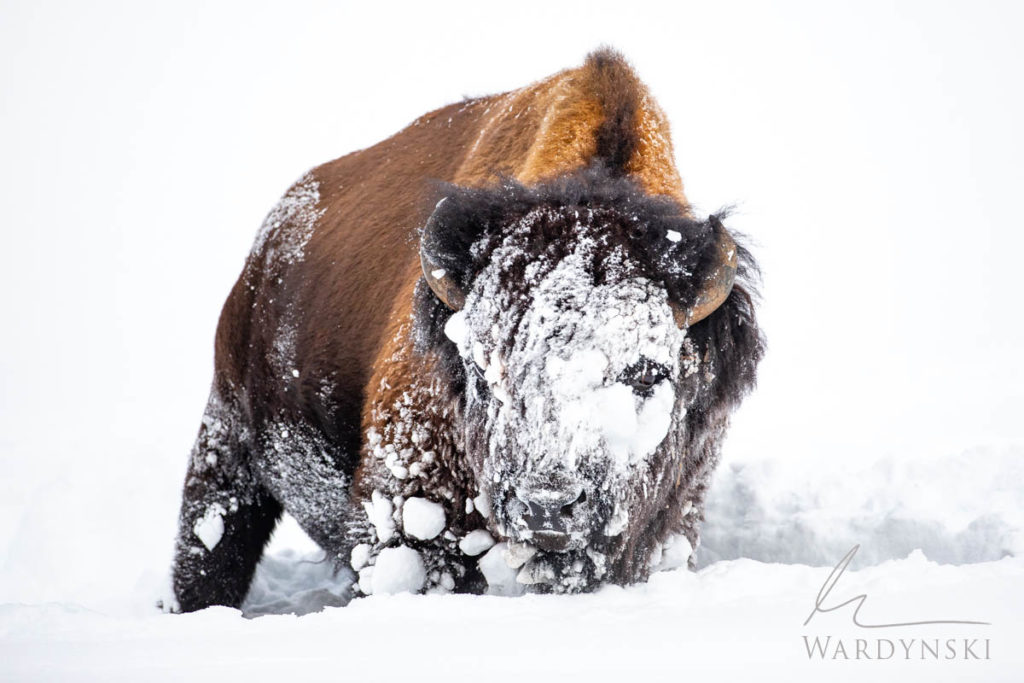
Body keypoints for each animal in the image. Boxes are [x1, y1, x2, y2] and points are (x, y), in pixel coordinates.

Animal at [169, 48, 761, 610]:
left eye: (646, 373)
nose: (547, 505)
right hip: (226, 445)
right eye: (483, 367)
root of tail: (271, 240)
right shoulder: (411, 523)